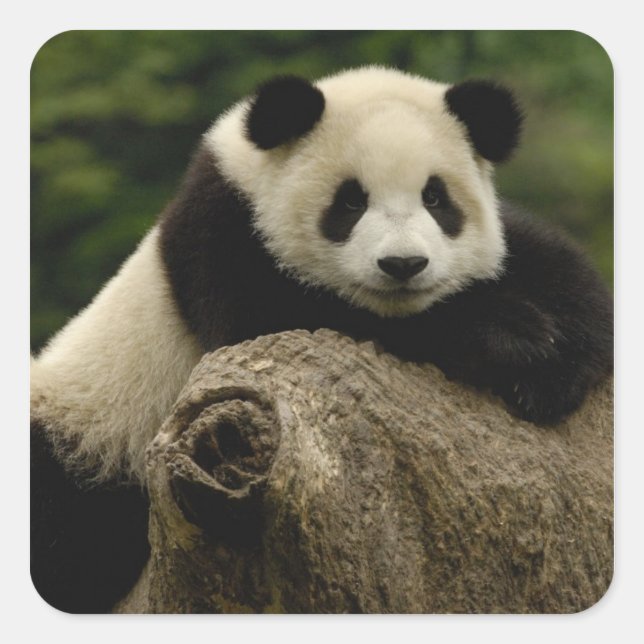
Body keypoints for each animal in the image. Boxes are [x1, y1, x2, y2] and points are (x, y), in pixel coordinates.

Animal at [30, 66, 613, 612]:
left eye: (436, 198)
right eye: (350, 202)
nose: (403, 265)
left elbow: (553, 266)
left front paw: (558, 363)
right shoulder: (224, 239)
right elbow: (287, 320)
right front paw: (513, 339)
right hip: (89, 432)